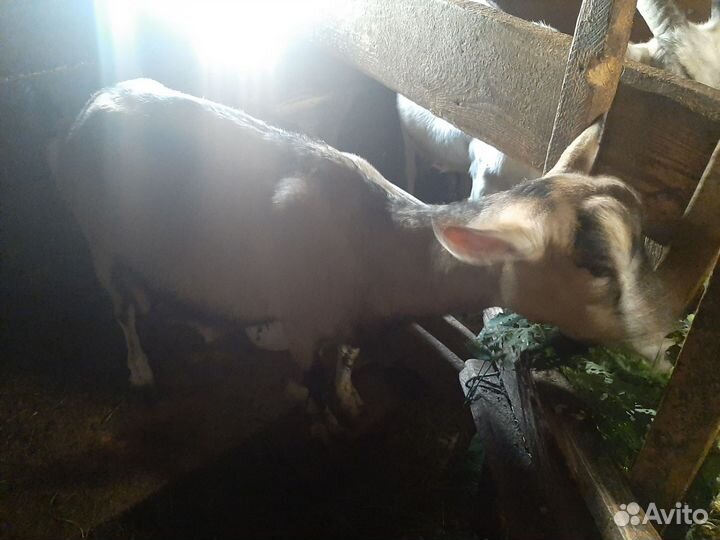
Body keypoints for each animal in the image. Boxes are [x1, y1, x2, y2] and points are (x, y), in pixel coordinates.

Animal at [54, 79, 672, 417]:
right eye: (594, 265)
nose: (661, 345)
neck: (381, 244)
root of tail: (93, 102)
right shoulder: (303, 323)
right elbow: (304, 385)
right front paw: (319, 414)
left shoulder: (356, 317)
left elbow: (348, 359)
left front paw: (350, 398)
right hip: (95, 234)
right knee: (120, 310)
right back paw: (141, 371)